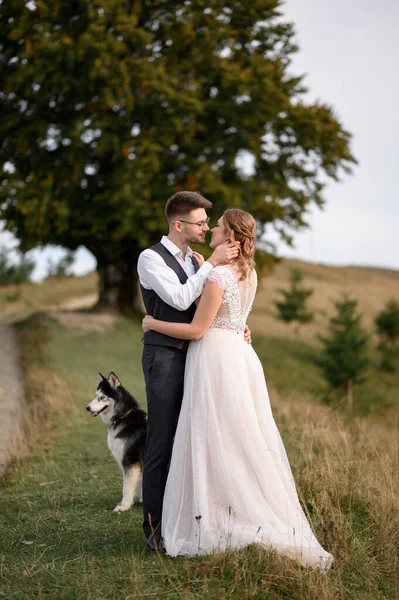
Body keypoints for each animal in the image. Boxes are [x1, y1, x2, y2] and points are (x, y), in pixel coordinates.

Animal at [86, 370, 147, 510]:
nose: (87, 408)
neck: (122, 417)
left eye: (102, 397)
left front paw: (124, 506)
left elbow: (127, 487)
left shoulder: (130, 461)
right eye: (95, 396)